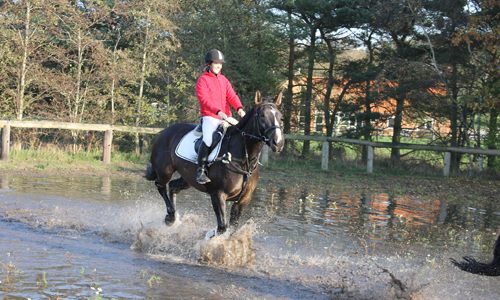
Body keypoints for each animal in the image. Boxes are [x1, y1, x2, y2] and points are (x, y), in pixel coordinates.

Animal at [145, 90, 286, 236]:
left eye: (280, 116)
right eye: (262, 115)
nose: (278, 143)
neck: (243, 159)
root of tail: (164, 131)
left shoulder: (243, 200)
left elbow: (232, 228)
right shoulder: (218, 195)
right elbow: (222, 227)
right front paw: (207, 236)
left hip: (189, 179)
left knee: (173, 186)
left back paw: (173, 217)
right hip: (164, 171)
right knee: (160, 185)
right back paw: (170, 217)